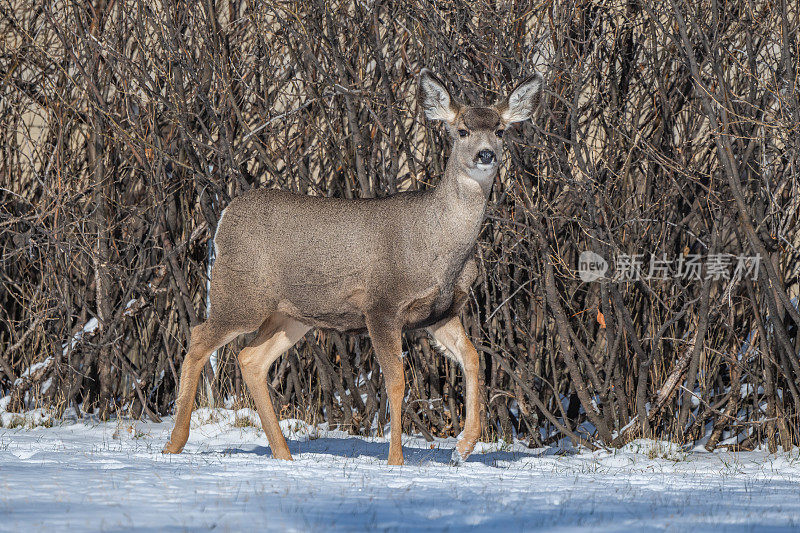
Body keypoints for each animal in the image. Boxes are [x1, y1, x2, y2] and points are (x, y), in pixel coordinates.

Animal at [162, 68, 544, 464]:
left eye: (500, 129)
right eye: (463, 130)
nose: (486, 154)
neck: (438, 247)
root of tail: (224, 216)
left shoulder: (440, 312)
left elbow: (472, 357)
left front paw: (464, 446)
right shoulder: (382, 305)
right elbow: (397, 381)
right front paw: (396, 460)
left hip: (293, 314)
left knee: (250, 358)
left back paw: (284, 454)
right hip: (241, 296)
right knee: (199, 337)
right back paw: (174, 443)